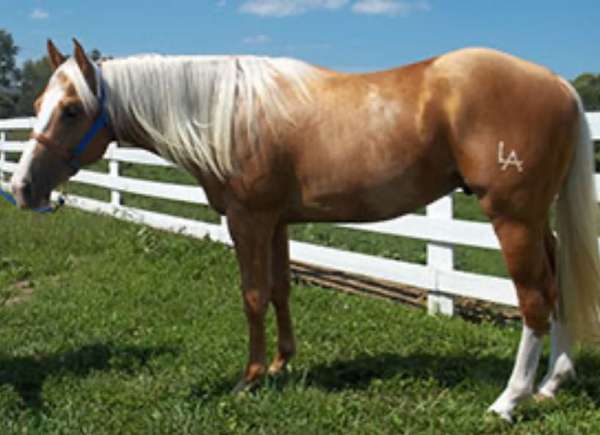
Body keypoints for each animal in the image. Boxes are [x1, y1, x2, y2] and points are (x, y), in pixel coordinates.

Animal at [9, 40, 600, 422]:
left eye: (70, 110)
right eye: (37, 106)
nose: (21, 187)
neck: (227, 116)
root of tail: (558, 84)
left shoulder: (247, 219)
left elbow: (251, 295)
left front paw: (248, 378)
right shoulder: (275, 222)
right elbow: (279, 289)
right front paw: (279, 364)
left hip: (513, 220)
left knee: (534, 302)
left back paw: (510, 400)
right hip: (536, 222)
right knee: (560, 292)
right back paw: (551, 384)